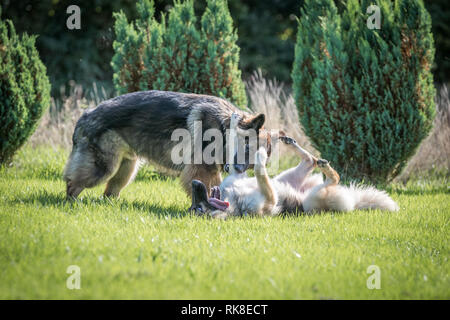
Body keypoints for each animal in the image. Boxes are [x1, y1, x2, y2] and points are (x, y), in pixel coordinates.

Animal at [62, 90, 268, 199]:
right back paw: (72, 202)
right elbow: (209, 187)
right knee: (73, 183)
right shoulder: (202, 169)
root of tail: (86, 114)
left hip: (127, 168)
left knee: (110, 190)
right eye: (249, 149)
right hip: (104, 168)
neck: (225, 127)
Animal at [188, 113, 400, 218]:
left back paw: (292, 144)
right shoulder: (269, 200)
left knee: (310, 160)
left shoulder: (236, 173)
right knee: (332, 176)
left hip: (288, 177)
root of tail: (355, 203)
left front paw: (234, 121)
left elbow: (234, 145)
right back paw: (326, 169)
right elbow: (259, 170)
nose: (194, 183)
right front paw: (261, 154)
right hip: (312, 200)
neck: (231, 198)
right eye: (197, 209)